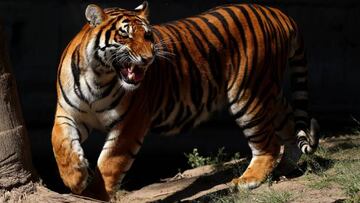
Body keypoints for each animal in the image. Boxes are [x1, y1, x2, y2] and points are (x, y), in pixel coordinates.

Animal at [50, 1, 318, 201]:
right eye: (124, 36)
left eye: (148, 35)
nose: (148, 59)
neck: (99, 77)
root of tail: (279, 13)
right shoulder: (67, 112)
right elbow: (60, 144)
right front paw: (75, 178)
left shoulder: (130, 123)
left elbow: (109, 163)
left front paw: (93, 194)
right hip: (267, 90)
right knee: (289, 124)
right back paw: (285, 167)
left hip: (249, 93)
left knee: (268, 144)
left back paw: (248, 180)